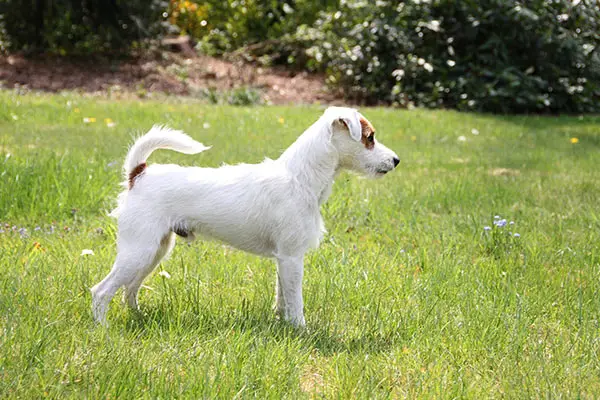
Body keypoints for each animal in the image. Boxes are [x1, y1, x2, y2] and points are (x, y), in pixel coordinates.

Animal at [91, 107, 400, 328]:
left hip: (155, 251)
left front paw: (282, 323)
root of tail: (139, 174)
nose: (396, 160)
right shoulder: (292, 257)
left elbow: (282, 296)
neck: (299, 178)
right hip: (139, 251)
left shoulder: (284, 260)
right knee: (101, 291)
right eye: (370, 138)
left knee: (129, 289)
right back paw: (104, 329)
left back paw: (138, 319)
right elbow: (296, 300)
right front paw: (301, 329)